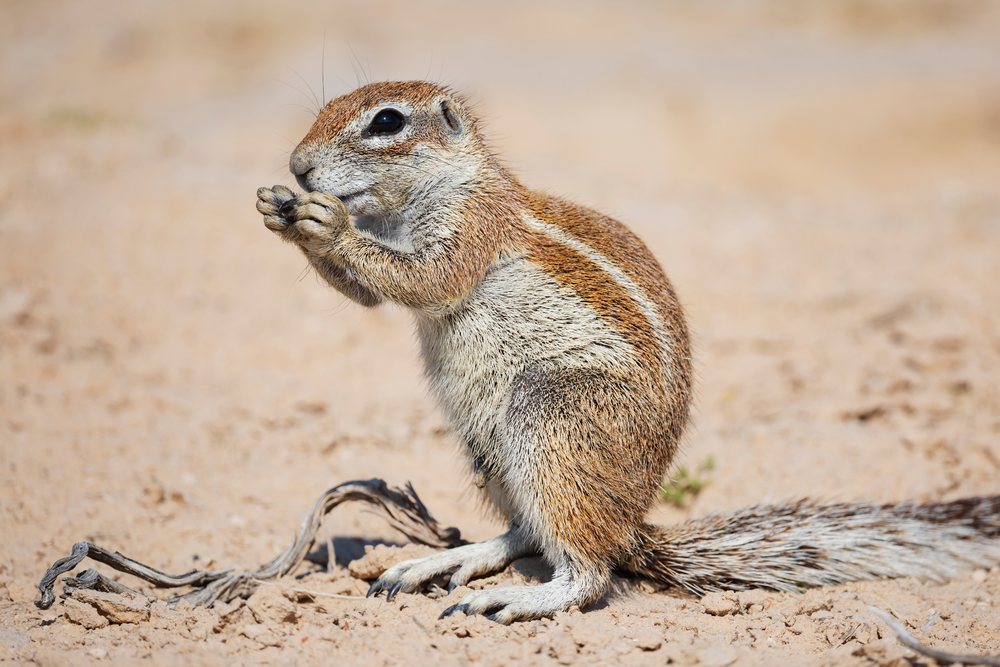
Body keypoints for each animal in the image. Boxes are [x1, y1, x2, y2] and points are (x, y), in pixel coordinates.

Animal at [256, 81, 1000, 624]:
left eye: (386, 122)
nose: (298, 166)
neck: (449, 184)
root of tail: (632, 522)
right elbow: (369, 293)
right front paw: (280, 213)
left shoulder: (472, 228)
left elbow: (422, 279)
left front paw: (324, 221)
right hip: (486, 446)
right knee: (529, 531)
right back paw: (443, 561)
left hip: (549, 414)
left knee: (589, 571)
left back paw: (514, 595)